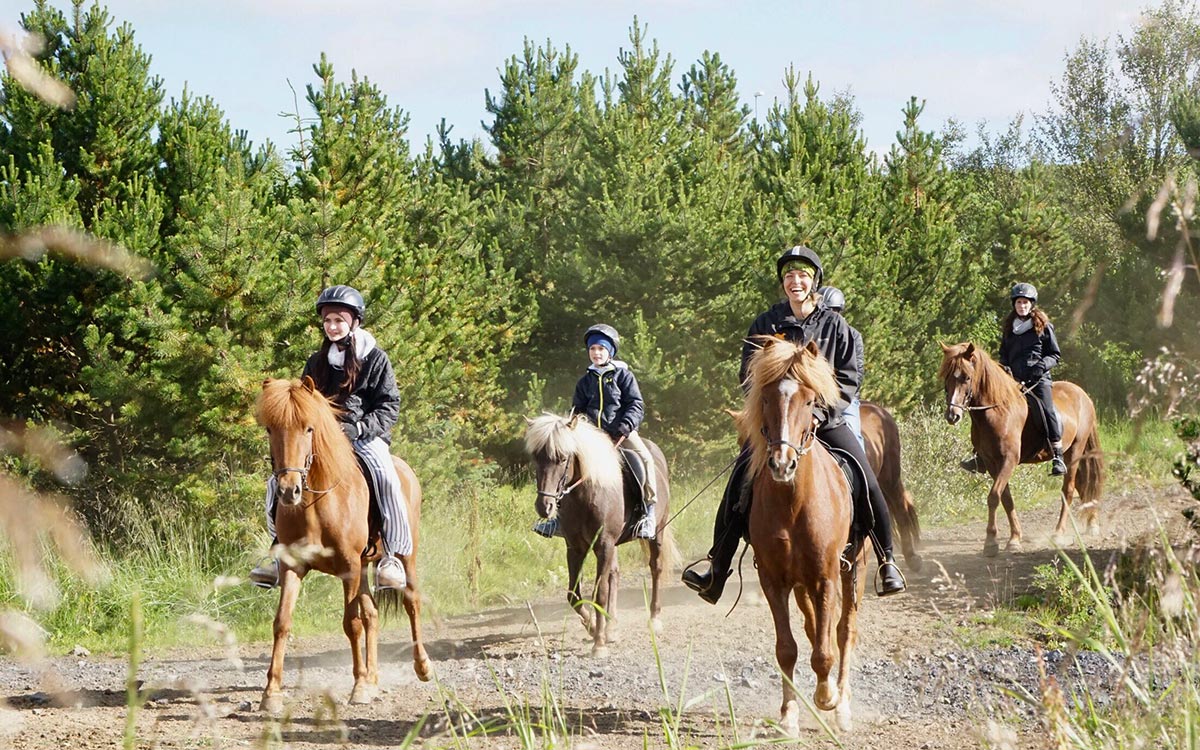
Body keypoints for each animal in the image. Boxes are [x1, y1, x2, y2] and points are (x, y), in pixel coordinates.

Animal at [253, 376, 432, 710]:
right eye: (270, 429)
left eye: (309, 428)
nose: (288, 490)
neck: (315, 505)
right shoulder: (294, 567)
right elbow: (282, 622)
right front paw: (271, 693)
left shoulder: (348, 567)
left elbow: (352, 624)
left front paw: (358, 687)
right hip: (363, 568)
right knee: (372, 614)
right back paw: (373, 678)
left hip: (405, 556)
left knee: (411, 602)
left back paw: (422, 666)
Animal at [525, 412, 676, 657]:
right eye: (536, 457)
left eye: (562, 458)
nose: (544, 506)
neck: (585, 494)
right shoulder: (575, 547)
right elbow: (574, 595)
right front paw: (593, 627)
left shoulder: (604, 544)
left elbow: (600, 593)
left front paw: (599, 643)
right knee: (615, 574)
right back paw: (611, 626)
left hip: (657, 533)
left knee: (656, 569)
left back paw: (654, 619)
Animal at [734, 338, 868, 729]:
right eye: (765, 399)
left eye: (810, 401)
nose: (782, 463)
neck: (793, 502)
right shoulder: (774, 579)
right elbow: (787, 649)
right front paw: (789, 715)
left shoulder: (826, 576)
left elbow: (825, 650)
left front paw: (828, 698)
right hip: (801, 584)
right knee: (812, 628)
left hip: (854, 568)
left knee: (844, 631)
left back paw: (842, 706)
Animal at [936, 343, 1104, 552]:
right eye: (947, 377)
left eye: (966, 377)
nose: (953, 415)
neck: (997, 411)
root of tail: (1082, 395)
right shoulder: (992, 463)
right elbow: (1006, 499)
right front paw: (1014, 538)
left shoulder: (1009, 460)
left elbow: (994, 496)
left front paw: (991, 542)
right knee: (1083, 484)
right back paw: (1092, 524)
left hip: (1075, 451)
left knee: (1069, 490)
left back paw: (1059, 533)